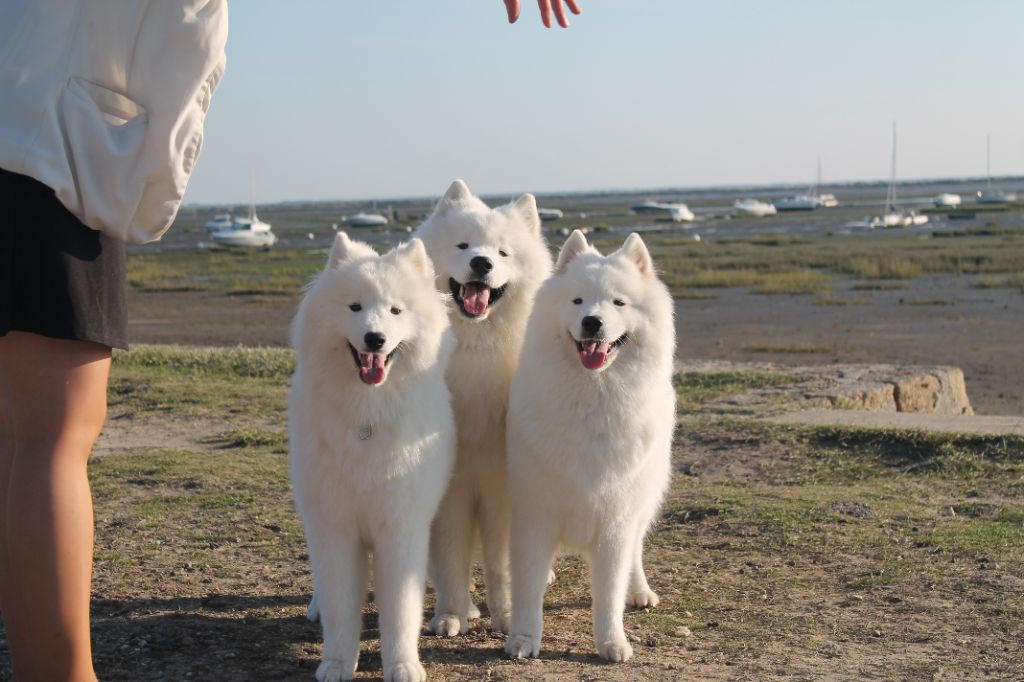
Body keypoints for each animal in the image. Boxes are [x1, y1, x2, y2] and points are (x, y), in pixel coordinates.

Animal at [284, 231, 452, 675]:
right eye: (354, 307)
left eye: (395, 310)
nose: (374, 338)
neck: (367, 414)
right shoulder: (335, 527)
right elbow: (341, 606)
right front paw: (337, 664)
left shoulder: (400, 528)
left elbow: (400, 609)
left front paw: (403, 667)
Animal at [411, 176, 552, 630]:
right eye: (463, 245)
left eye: (503, 252)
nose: (482, 263)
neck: (474, 350)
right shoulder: (451, 490)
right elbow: (451, 558)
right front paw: (452, 614)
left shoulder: (501, 488)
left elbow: (501, 565)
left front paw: (506, 614)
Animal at [505, 228, 679, 659]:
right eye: (577, 301)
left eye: (618, 302)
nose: (592, 322)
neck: (593, 396)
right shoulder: (533, 515)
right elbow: (527, 587)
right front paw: (523, 638)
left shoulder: (616, 521)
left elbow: (609, 593)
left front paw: (612, 642)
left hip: (643, 502)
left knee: (636, 552)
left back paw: (639, 591)